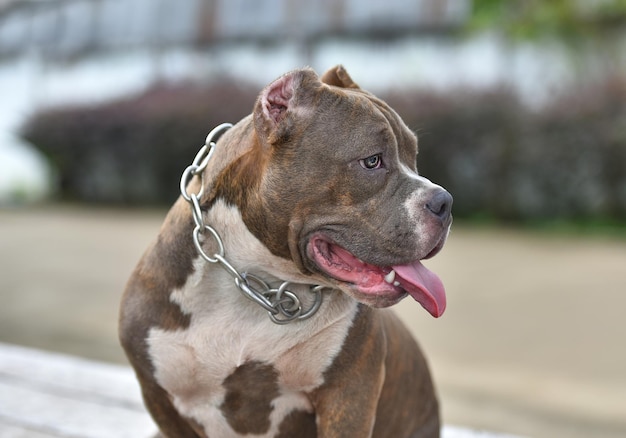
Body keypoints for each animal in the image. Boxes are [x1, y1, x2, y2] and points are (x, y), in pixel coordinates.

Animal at [119, 66, 450, 438]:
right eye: (372, 161)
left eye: (414, 157)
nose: (445, 202)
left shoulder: (349, 394)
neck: (260, 279)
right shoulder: (161, 401)